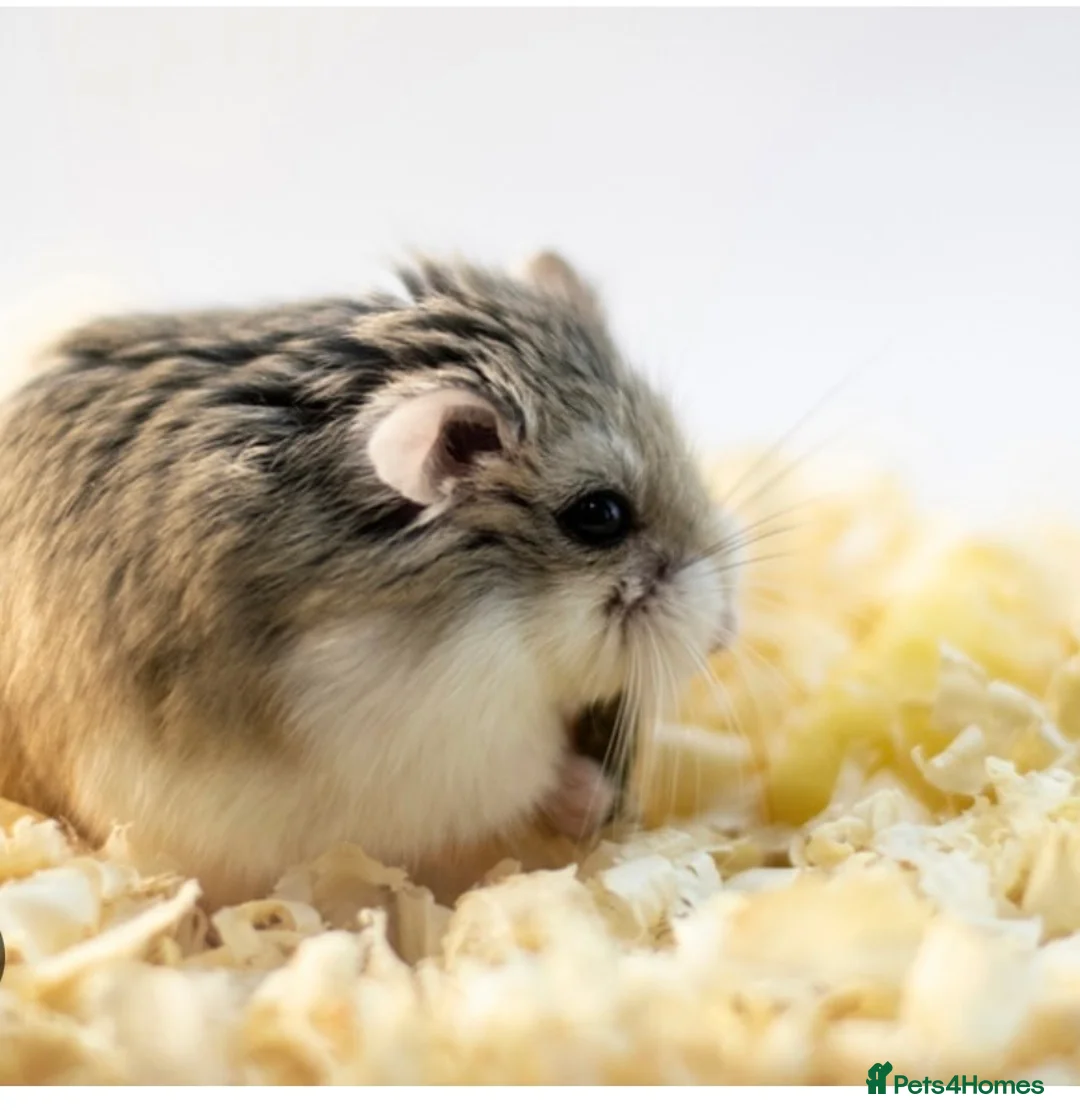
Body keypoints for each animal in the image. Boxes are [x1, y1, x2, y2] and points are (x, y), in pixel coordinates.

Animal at [0, 252, 739, 908]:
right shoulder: (442, 743)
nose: (726, 636)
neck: (500, 610)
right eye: (599, 515)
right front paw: (592, 798)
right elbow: (532, 777)